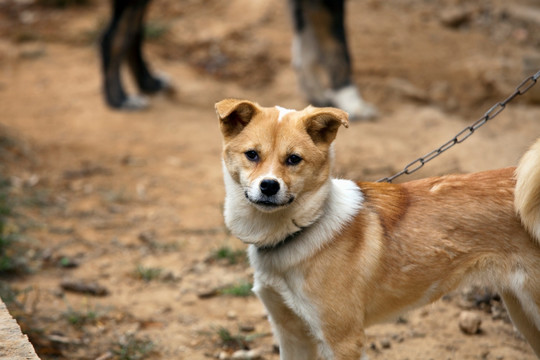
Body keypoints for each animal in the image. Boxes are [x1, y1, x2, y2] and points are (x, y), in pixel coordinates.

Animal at [99, 0, 376, 121]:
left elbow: (307, 48)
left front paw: (315, 94)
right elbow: (336, 49)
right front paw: (352, 101)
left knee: (133, 31)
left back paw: (148, 82)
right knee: (113, 36)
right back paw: (119, 99)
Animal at [215, 97, 540, 358]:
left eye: (294, 159)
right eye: (252, 154)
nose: (269, 186)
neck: (301, 230)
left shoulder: (343, 340)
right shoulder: (290, 334)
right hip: (521, 312)